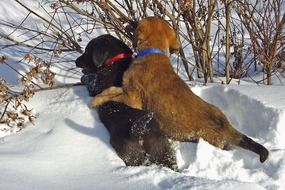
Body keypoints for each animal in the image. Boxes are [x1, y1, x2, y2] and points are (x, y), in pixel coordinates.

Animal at [74, 34, 176, 169]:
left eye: (86, 52)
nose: (75, 61)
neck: (115, 59)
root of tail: (139, 130)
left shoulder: (95, 86)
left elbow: (88, 81)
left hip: (129, 153)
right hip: (162, 150)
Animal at [91, 16, 268, 163]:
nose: (129, 21)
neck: (154, 52)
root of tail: (227, 128)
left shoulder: (132, 95)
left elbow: (111, 93)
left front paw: (95, 100)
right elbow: (113, 90)